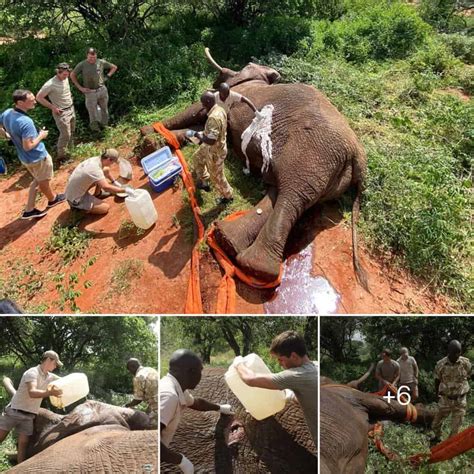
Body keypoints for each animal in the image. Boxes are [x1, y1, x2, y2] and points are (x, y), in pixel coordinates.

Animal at [156, 48, 366, 286]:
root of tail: (358, 155)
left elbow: (197, 111)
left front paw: (148, 136)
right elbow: (203, 126)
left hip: (316, 153)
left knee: (292, 193)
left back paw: (252, 265)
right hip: (330, 172)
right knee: (287, 192)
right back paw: (227, 240)